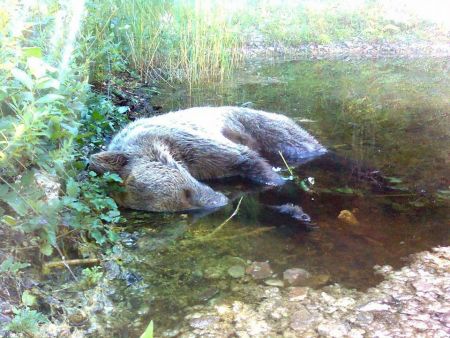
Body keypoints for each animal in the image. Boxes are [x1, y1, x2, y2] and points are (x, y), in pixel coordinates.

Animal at [89, 106, 326, 211]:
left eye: (187, 192)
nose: (218, 201)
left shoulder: (189, 143)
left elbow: (247, 160)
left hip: (264, 126)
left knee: (304, 145)